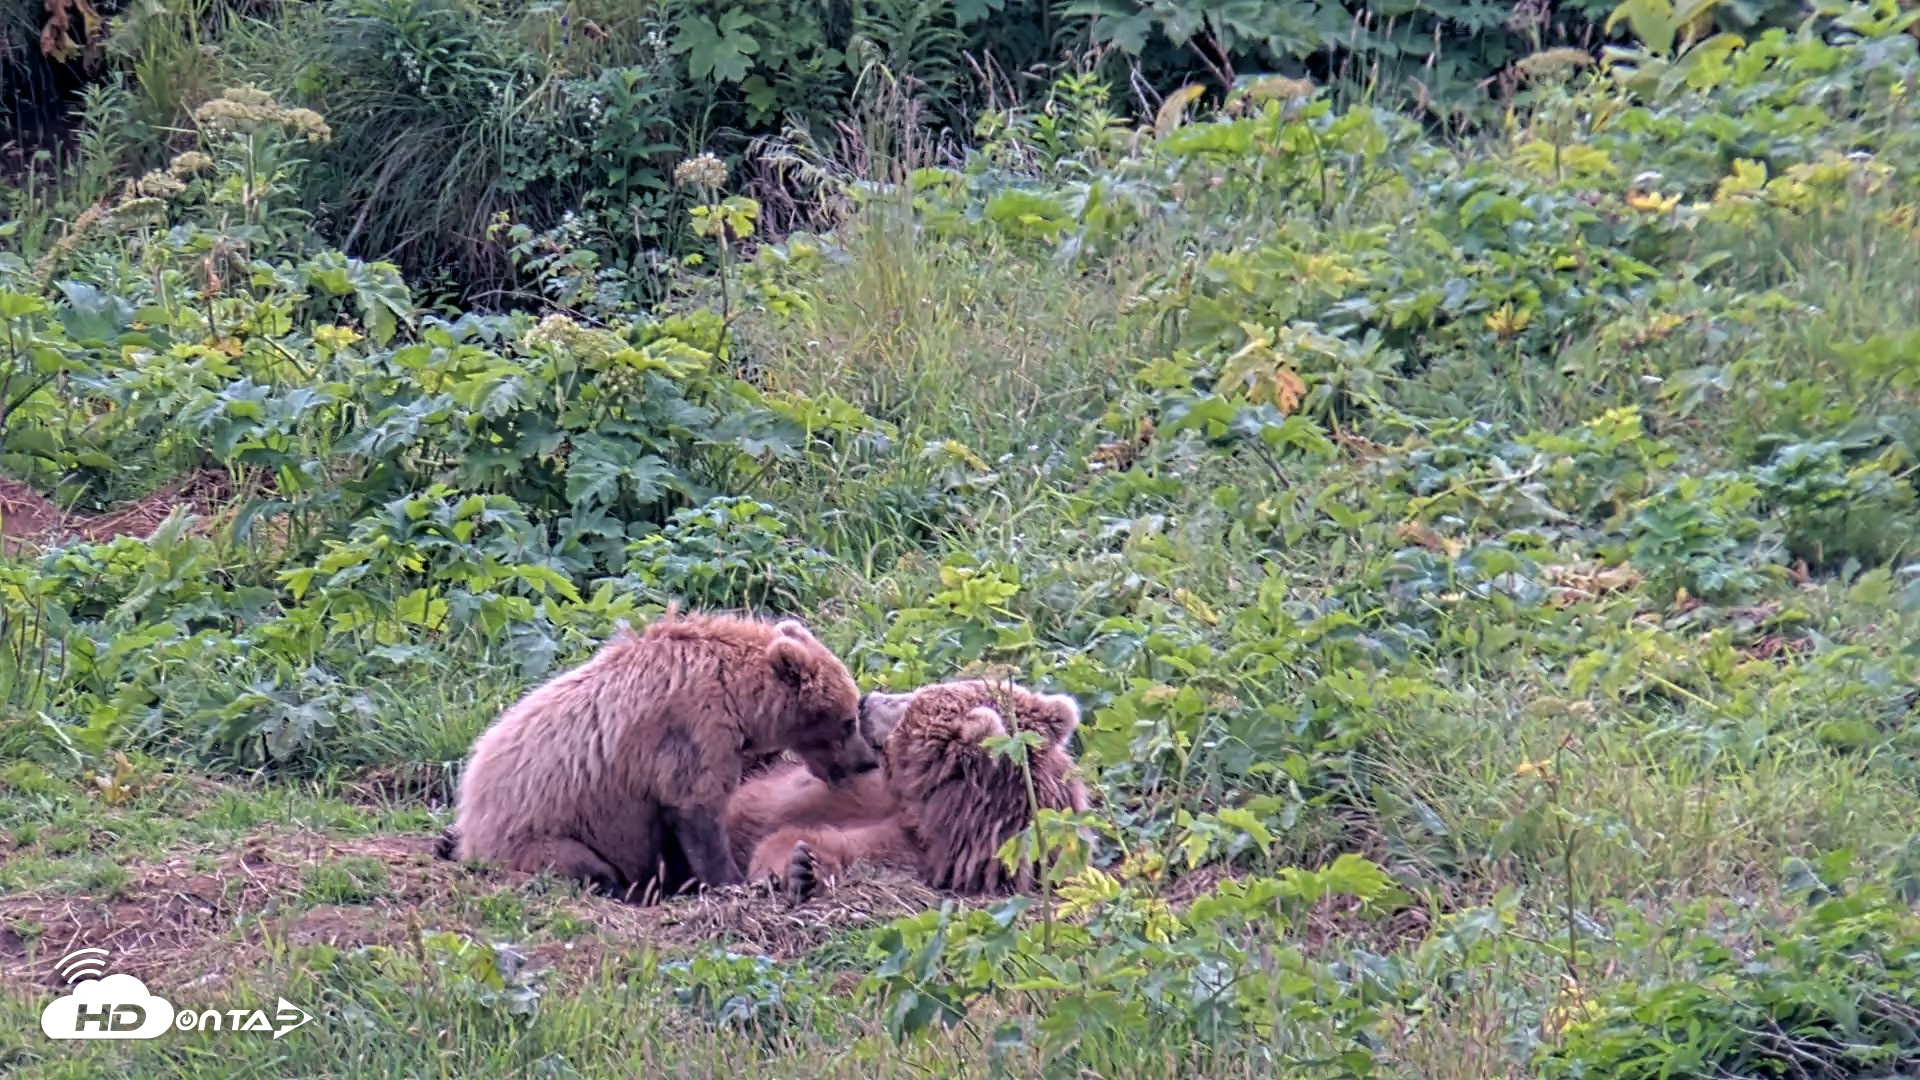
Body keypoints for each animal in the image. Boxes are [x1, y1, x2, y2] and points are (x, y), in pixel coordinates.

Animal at [445, 608, 876, 903]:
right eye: (848, 720)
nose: (867, 760)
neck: (737, 697)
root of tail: (469, 811)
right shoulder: (691, 732)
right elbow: (698, 813)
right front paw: (732, 882)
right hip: (536, 835)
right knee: (578, 863)